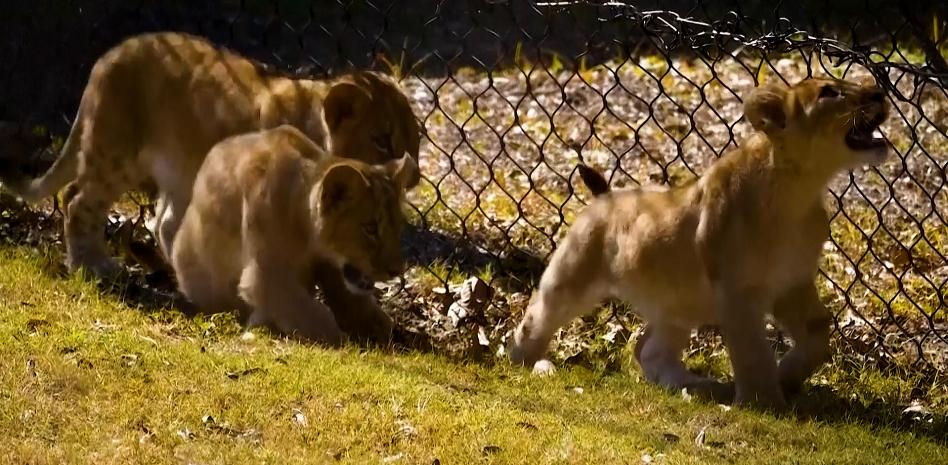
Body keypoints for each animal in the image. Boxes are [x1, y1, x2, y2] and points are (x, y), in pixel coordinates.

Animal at [0, 31, 420, 279]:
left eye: (415, 140)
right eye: (383, 139)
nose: (413, 176)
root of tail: (108, 55)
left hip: (179, 170)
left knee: (163, 222)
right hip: (117, 153)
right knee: (76, 199)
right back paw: (92, 266)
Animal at [171, 124, 416, 344]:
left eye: (398, 227)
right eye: (370, 228)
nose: (397, 270)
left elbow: (344, 293)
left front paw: (375, 323)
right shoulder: (268, 276)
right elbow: (311, 313)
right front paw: (343, 340)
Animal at [509, 78, 889, 411]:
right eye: (829, 92)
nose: (879, 92)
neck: (798, 192)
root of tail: (606, 197)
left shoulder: (792, 283)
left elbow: (818, 332)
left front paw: (788, 379)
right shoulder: (739, 293)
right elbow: (753, 352)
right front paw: (764, 402)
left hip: (679, 304)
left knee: (646, 349)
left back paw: (694, 385)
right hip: (573, 275)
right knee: (537, 318)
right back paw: (528, 364)